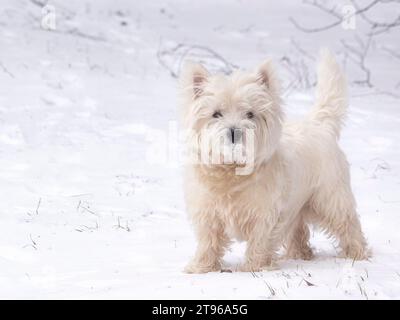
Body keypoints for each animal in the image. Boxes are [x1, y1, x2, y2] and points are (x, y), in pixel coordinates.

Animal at [180, 49, 368, 272]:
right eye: (216, 114)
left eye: (250, 114)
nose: (234, 132)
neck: (231, 170)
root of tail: (320, 124)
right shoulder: (208, 213)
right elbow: (208, 241)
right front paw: (201, 267)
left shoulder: (265, 213)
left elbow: (259, 240)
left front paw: (254, 267)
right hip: (297, 205)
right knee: (298, 229)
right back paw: (300, 254)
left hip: (330, 197)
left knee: (347, 223)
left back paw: (358, 254)